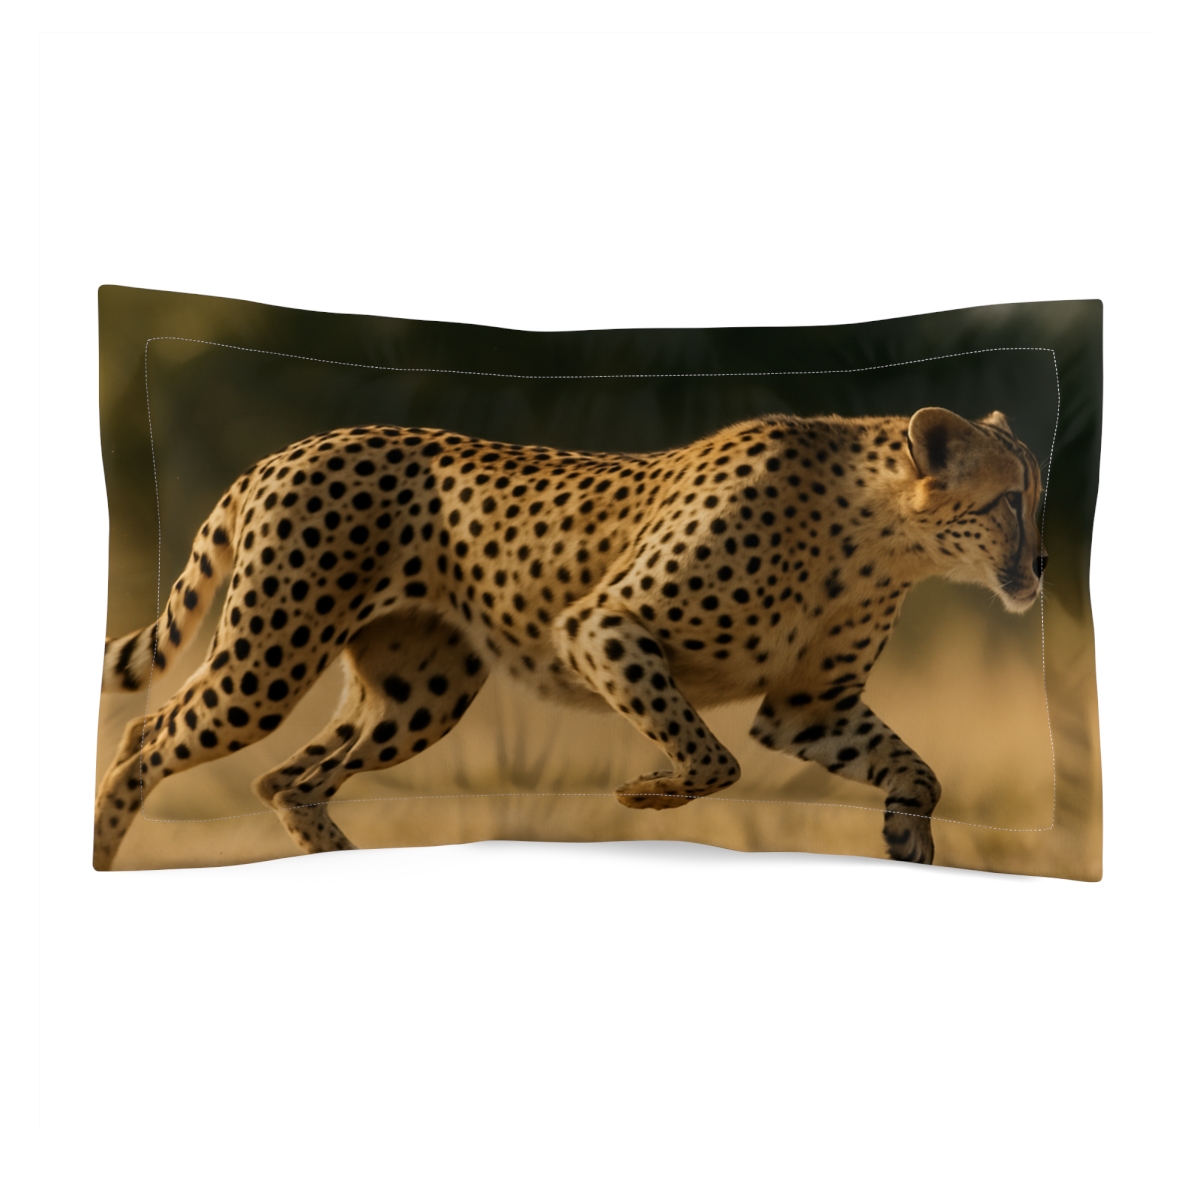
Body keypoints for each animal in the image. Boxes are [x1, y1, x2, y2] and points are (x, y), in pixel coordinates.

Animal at [95, 405, 1046, 870]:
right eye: (1011, 499)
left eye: (1036, 496)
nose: (1041, 562)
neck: (882, 533)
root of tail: (296, 446)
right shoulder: (603, 626)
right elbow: (712, 758)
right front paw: (645, 795)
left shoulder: (807, 706)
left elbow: (918, 771)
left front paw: (910, 843)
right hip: (270, 656)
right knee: (152, 736)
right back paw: (105, 847)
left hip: (419, 697)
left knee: (287, 781)